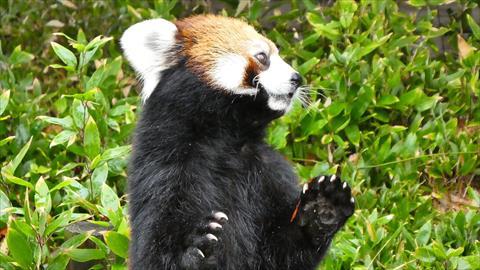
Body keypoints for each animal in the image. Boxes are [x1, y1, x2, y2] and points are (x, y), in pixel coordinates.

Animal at [121, 15, 352, 270]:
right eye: (262, 56)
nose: (297, 78)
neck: (228, 140)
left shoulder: (269, 171)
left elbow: (281, 254)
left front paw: (323, 207)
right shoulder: (163, 166)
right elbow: (153, 251)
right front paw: (195, 248)